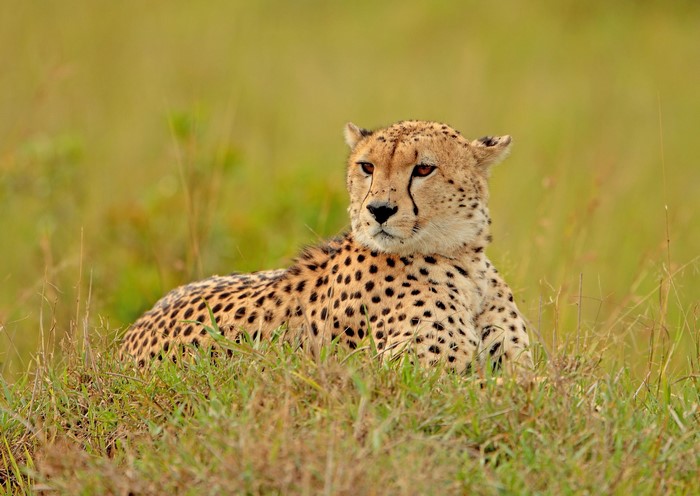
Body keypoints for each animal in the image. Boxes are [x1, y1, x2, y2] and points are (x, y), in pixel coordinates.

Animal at [120, 120, 533, 375]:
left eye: (424, 169)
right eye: (367, 167)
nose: (379, 210)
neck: (463, 260)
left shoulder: (515, 367)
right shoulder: (422, 375)